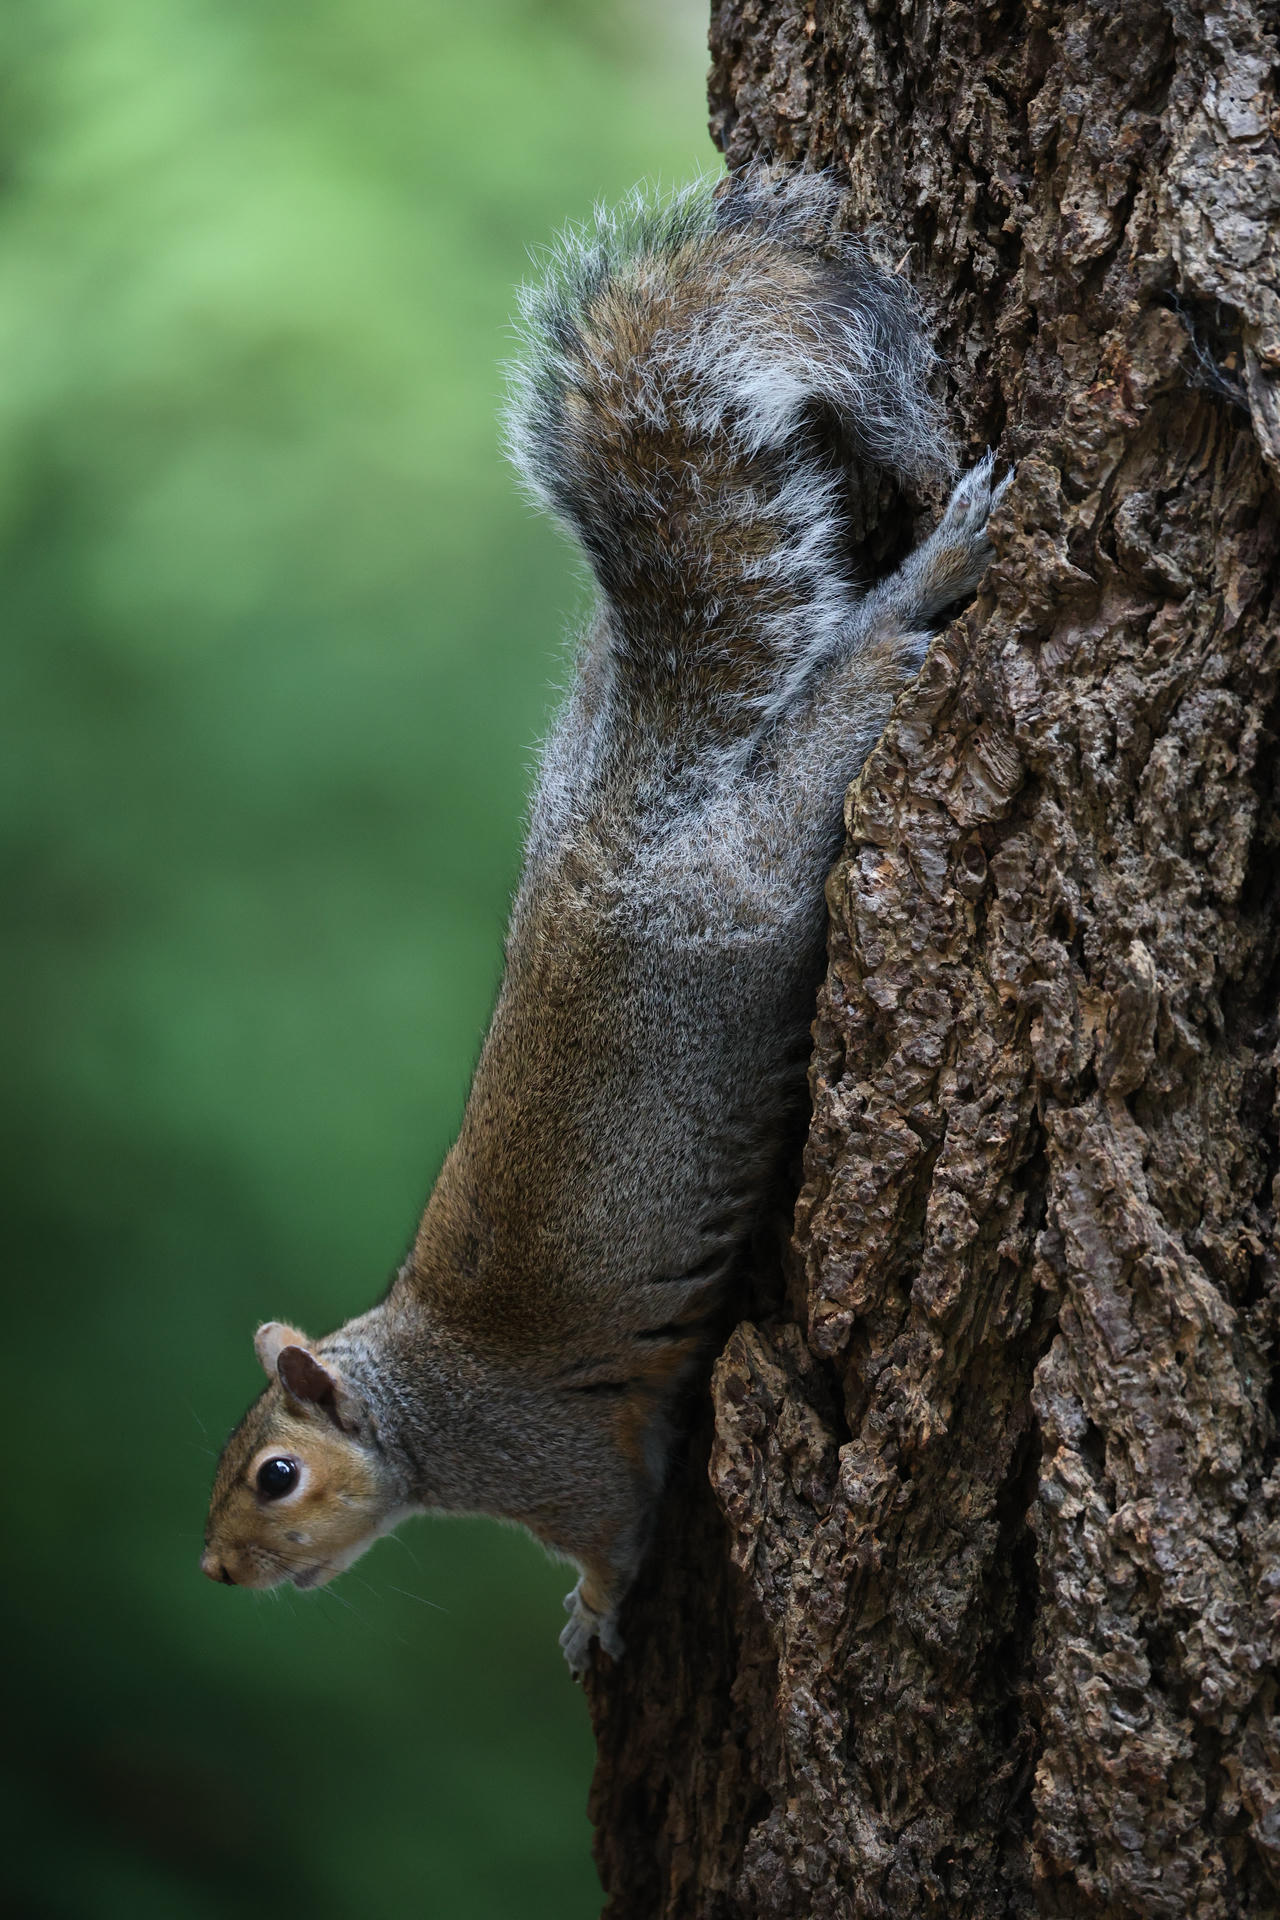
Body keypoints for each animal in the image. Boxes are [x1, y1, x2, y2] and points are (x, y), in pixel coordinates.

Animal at [201, 165, 1009, 1674]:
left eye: (275, 1474)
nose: (217, 1573)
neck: (419, 1411)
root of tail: (621, 832)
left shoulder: (565, 1464)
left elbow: (618, 1536)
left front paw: (590, 1618)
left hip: (759, 863)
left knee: (841, 707)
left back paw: (925, 580)